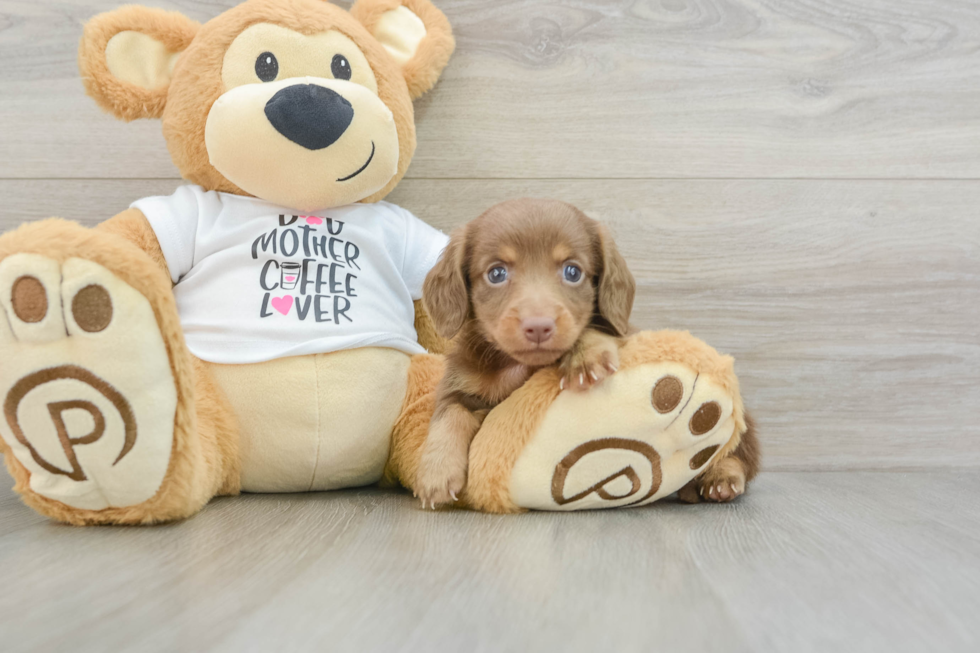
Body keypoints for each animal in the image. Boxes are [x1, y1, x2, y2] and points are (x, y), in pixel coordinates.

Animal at [416, 199, 636, 510]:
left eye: (573, 272)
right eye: (496, 273)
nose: (539, 326)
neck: (517, 364)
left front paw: (584, 356)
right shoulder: (457, 384)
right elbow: (449, 414)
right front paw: (436, 472)